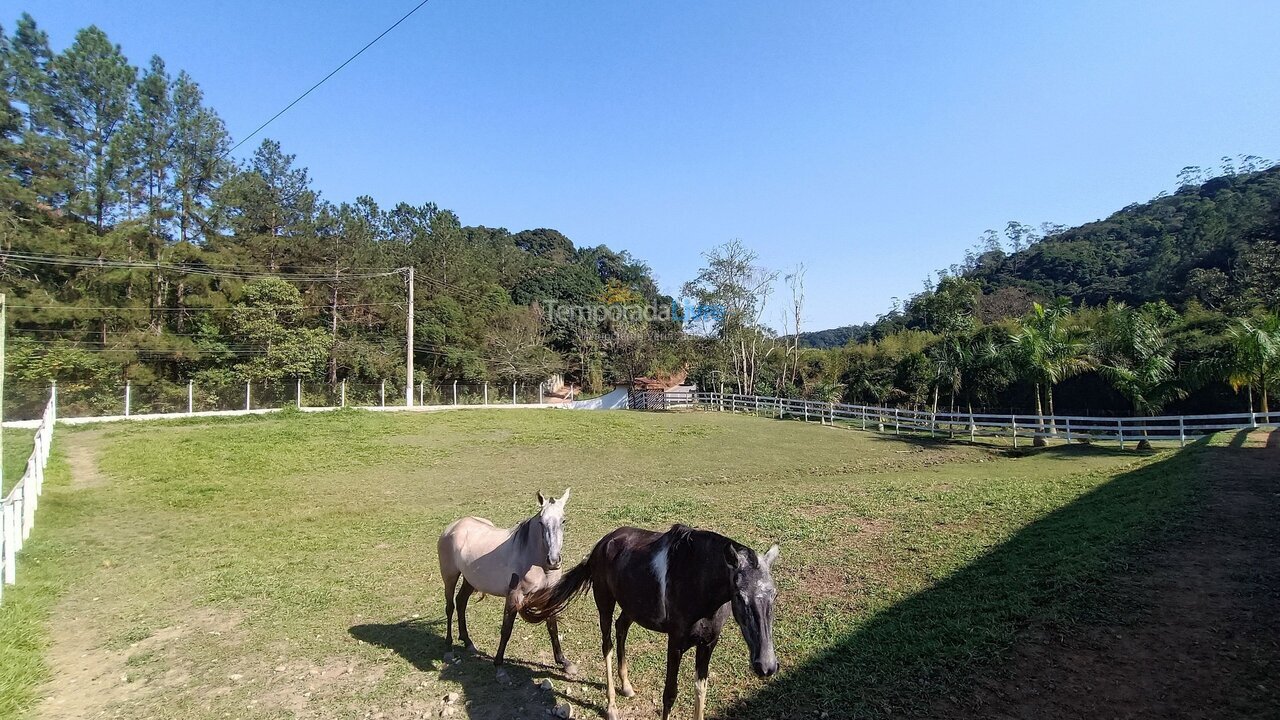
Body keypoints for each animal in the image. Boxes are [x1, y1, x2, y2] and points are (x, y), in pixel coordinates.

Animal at [440, 484, 581, 671]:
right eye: (541, 522)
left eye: (563, 521)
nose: (553, 561)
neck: (534, 561)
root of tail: (453, 527)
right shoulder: (514, 596)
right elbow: (506, 629)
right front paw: (498, 662)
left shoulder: (549, 595)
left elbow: (552, 626)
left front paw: (563, 661)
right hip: (449, 576)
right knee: (450, 606)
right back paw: (449, 644)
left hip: (470, 580)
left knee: (461, 601)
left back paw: (467, 642)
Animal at [522, 520, 778, 717]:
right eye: (740, 596)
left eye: (774, 595)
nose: (766, 666)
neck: (698, 584)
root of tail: (601, 545)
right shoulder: (675, 644)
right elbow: (669, 694)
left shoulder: (708, 644)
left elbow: (700, 691)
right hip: (604, 602)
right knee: (607, 645)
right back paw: (612, 706)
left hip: (631, 607)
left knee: (621, 628)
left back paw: (626, 687)